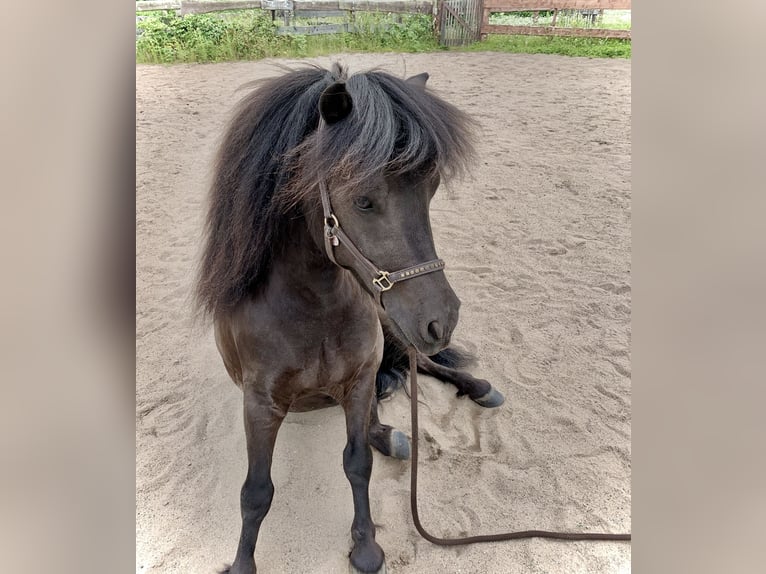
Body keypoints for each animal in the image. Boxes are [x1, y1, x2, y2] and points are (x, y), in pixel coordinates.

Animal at [196, 64, 504, 574]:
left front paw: (365, 547)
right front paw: (241, 564)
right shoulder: (259, 405)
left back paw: (477, 388)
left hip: (392, 325)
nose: (443, 319)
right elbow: (256, 492)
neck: (312, 309)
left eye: (432, 188)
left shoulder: (360, 380)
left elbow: (357, 462)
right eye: (363, 200)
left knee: (421, 363)